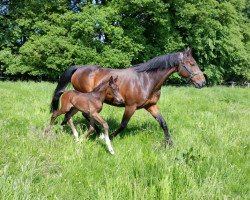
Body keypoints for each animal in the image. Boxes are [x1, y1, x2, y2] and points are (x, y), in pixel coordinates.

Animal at [50, 47, 205, 146]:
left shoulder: (151, 106)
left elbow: (163, 123)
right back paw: (100, 135)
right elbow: (123, 125)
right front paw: (110, 137)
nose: (203, 82)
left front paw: (169, 143)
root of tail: (79, 68)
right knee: (85, 115)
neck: (146, 80)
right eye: (192, 63)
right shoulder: (131, 106)